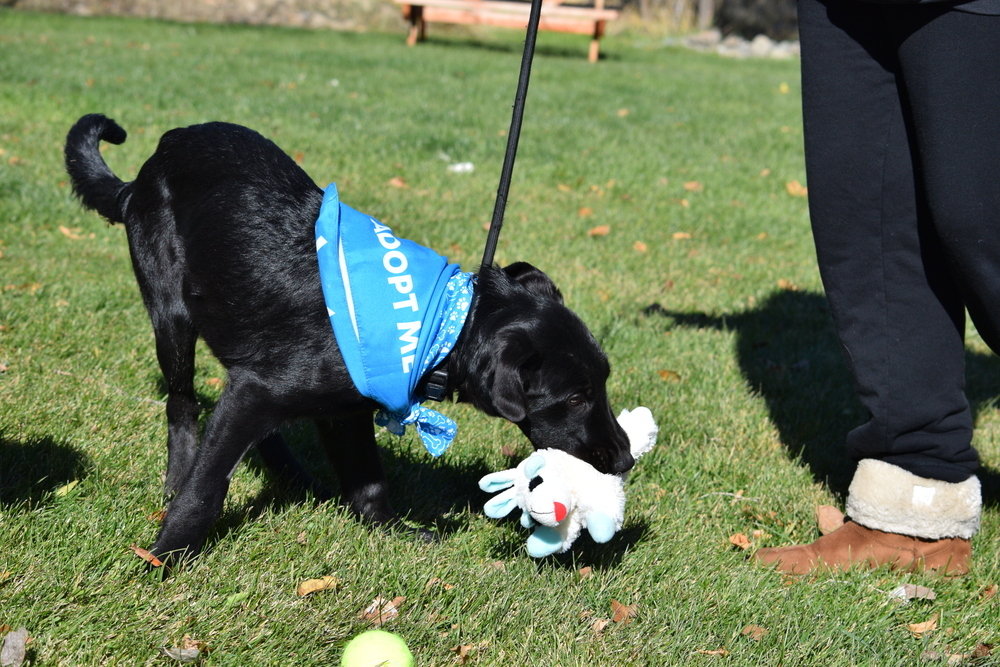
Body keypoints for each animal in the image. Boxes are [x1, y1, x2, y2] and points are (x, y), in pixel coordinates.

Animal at [64, 115, 632, 564]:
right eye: (575, 398)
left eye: (601, 386)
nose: (627, 460)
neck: (443, 325)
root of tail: (142, 174)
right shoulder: (261, 390)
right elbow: (206, 488)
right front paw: (164, 556)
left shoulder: (342, 408)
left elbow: (368, 480)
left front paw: (393, 531)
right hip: (172, 316)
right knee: (181, 404)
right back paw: (177, 480)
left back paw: (293, 478)